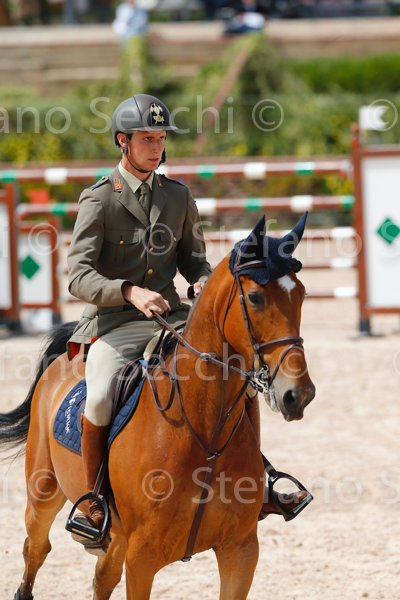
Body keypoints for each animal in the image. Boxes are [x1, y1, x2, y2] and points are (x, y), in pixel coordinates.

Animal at [0, 214, 315, 600]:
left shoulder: (240, 551)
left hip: (116, 535)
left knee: (102, 577)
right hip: (44, 492)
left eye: (301, 294)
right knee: (35, 550)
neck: (204, 435)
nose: (298, 394)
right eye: (254, 297)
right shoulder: (143, 558)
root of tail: (66, 356)